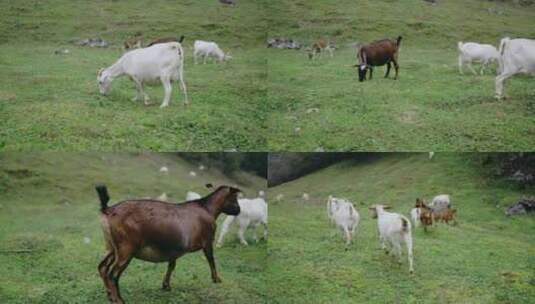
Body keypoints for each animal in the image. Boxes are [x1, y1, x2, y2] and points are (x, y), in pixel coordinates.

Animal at [94, 183, 241, 304]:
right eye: (234, 198)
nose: (238, 210)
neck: (207, 209)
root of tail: (108, 210)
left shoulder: (174, 249)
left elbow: (171, 265)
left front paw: (166, 286)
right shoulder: (208, 241)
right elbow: (211, 259)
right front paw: (216, 279)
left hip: (112, 247)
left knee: (102, 267)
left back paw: (110, 295)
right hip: (126, 248)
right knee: (113, 274)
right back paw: (119, 299)